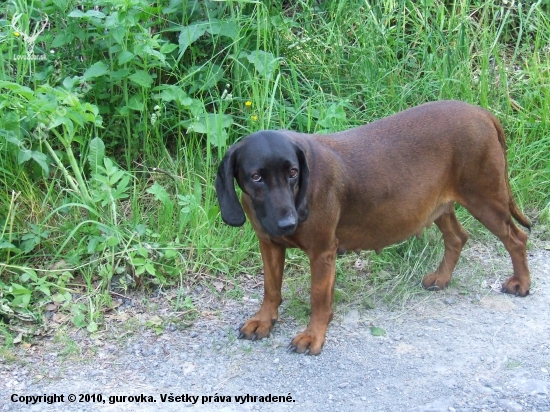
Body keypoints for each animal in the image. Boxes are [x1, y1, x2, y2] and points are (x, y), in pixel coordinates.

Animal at [215, 100, 532, 354]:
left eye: (293, 172)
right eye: (256, 177)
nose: (288, 223)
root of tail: (483, 113)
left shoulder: (322, 251)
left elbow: (318, 298)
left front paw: (313, 336)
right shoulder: (269, 245)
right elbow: (271, 288)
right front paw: (263, 320)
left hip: (485, 199)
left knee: (516, 238)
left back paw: (522, 284)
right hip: (438, 205)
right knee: (458, 237)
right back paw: (442, 278)